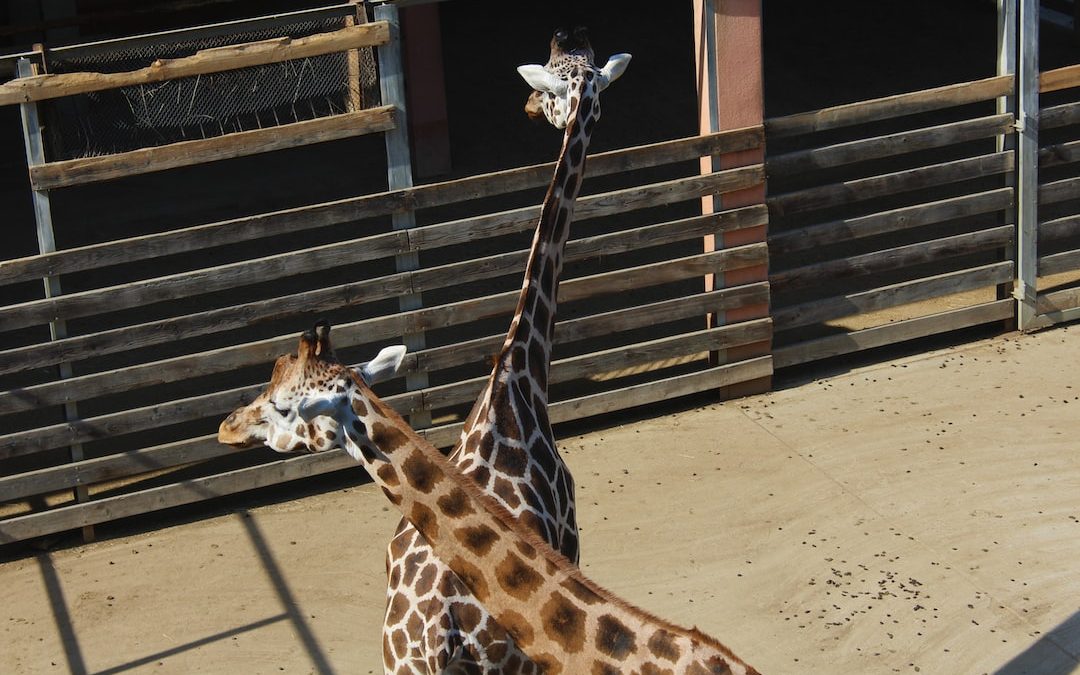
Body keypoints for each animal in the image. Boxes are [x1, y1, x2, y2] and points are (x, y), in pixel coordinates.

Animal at [380, 24, 630, 669]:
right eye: (550, 74)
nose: (527, 105)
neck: (518, 375)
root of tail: (440, 640)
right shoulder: (572, 536)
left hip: (392, 662)